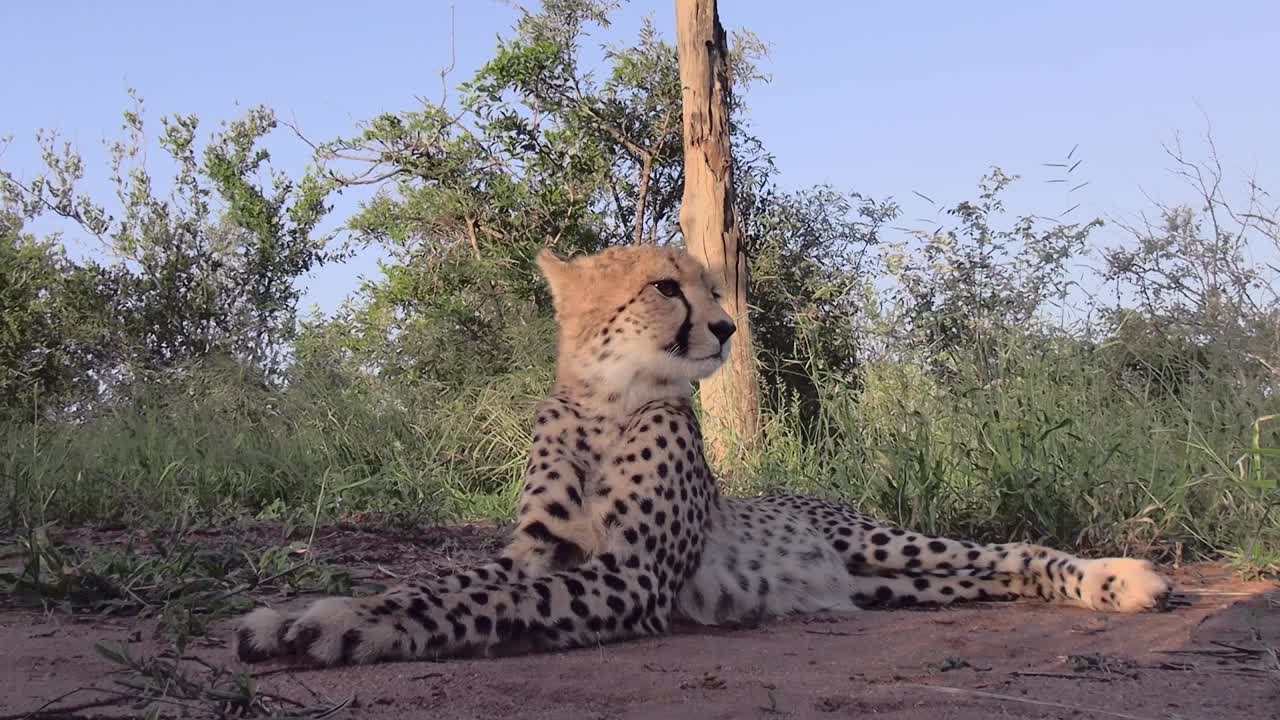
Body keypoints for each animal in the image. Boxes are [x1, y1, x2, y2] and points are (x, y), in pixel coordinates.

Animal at [234, 244, 1172, 666]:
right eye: (663, 287)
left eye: (714, 287)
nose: (725, 329)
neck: (606, 406)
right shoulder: (538, 551)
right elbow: (449, 581)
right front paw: (298, 613)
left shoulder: (631, 577)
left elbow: (468, 602)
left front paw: (345, 625)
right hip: (890, 582)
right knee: (978, 574)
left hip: (881, 540)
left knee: (1010, 550)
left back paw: (1122, 579)